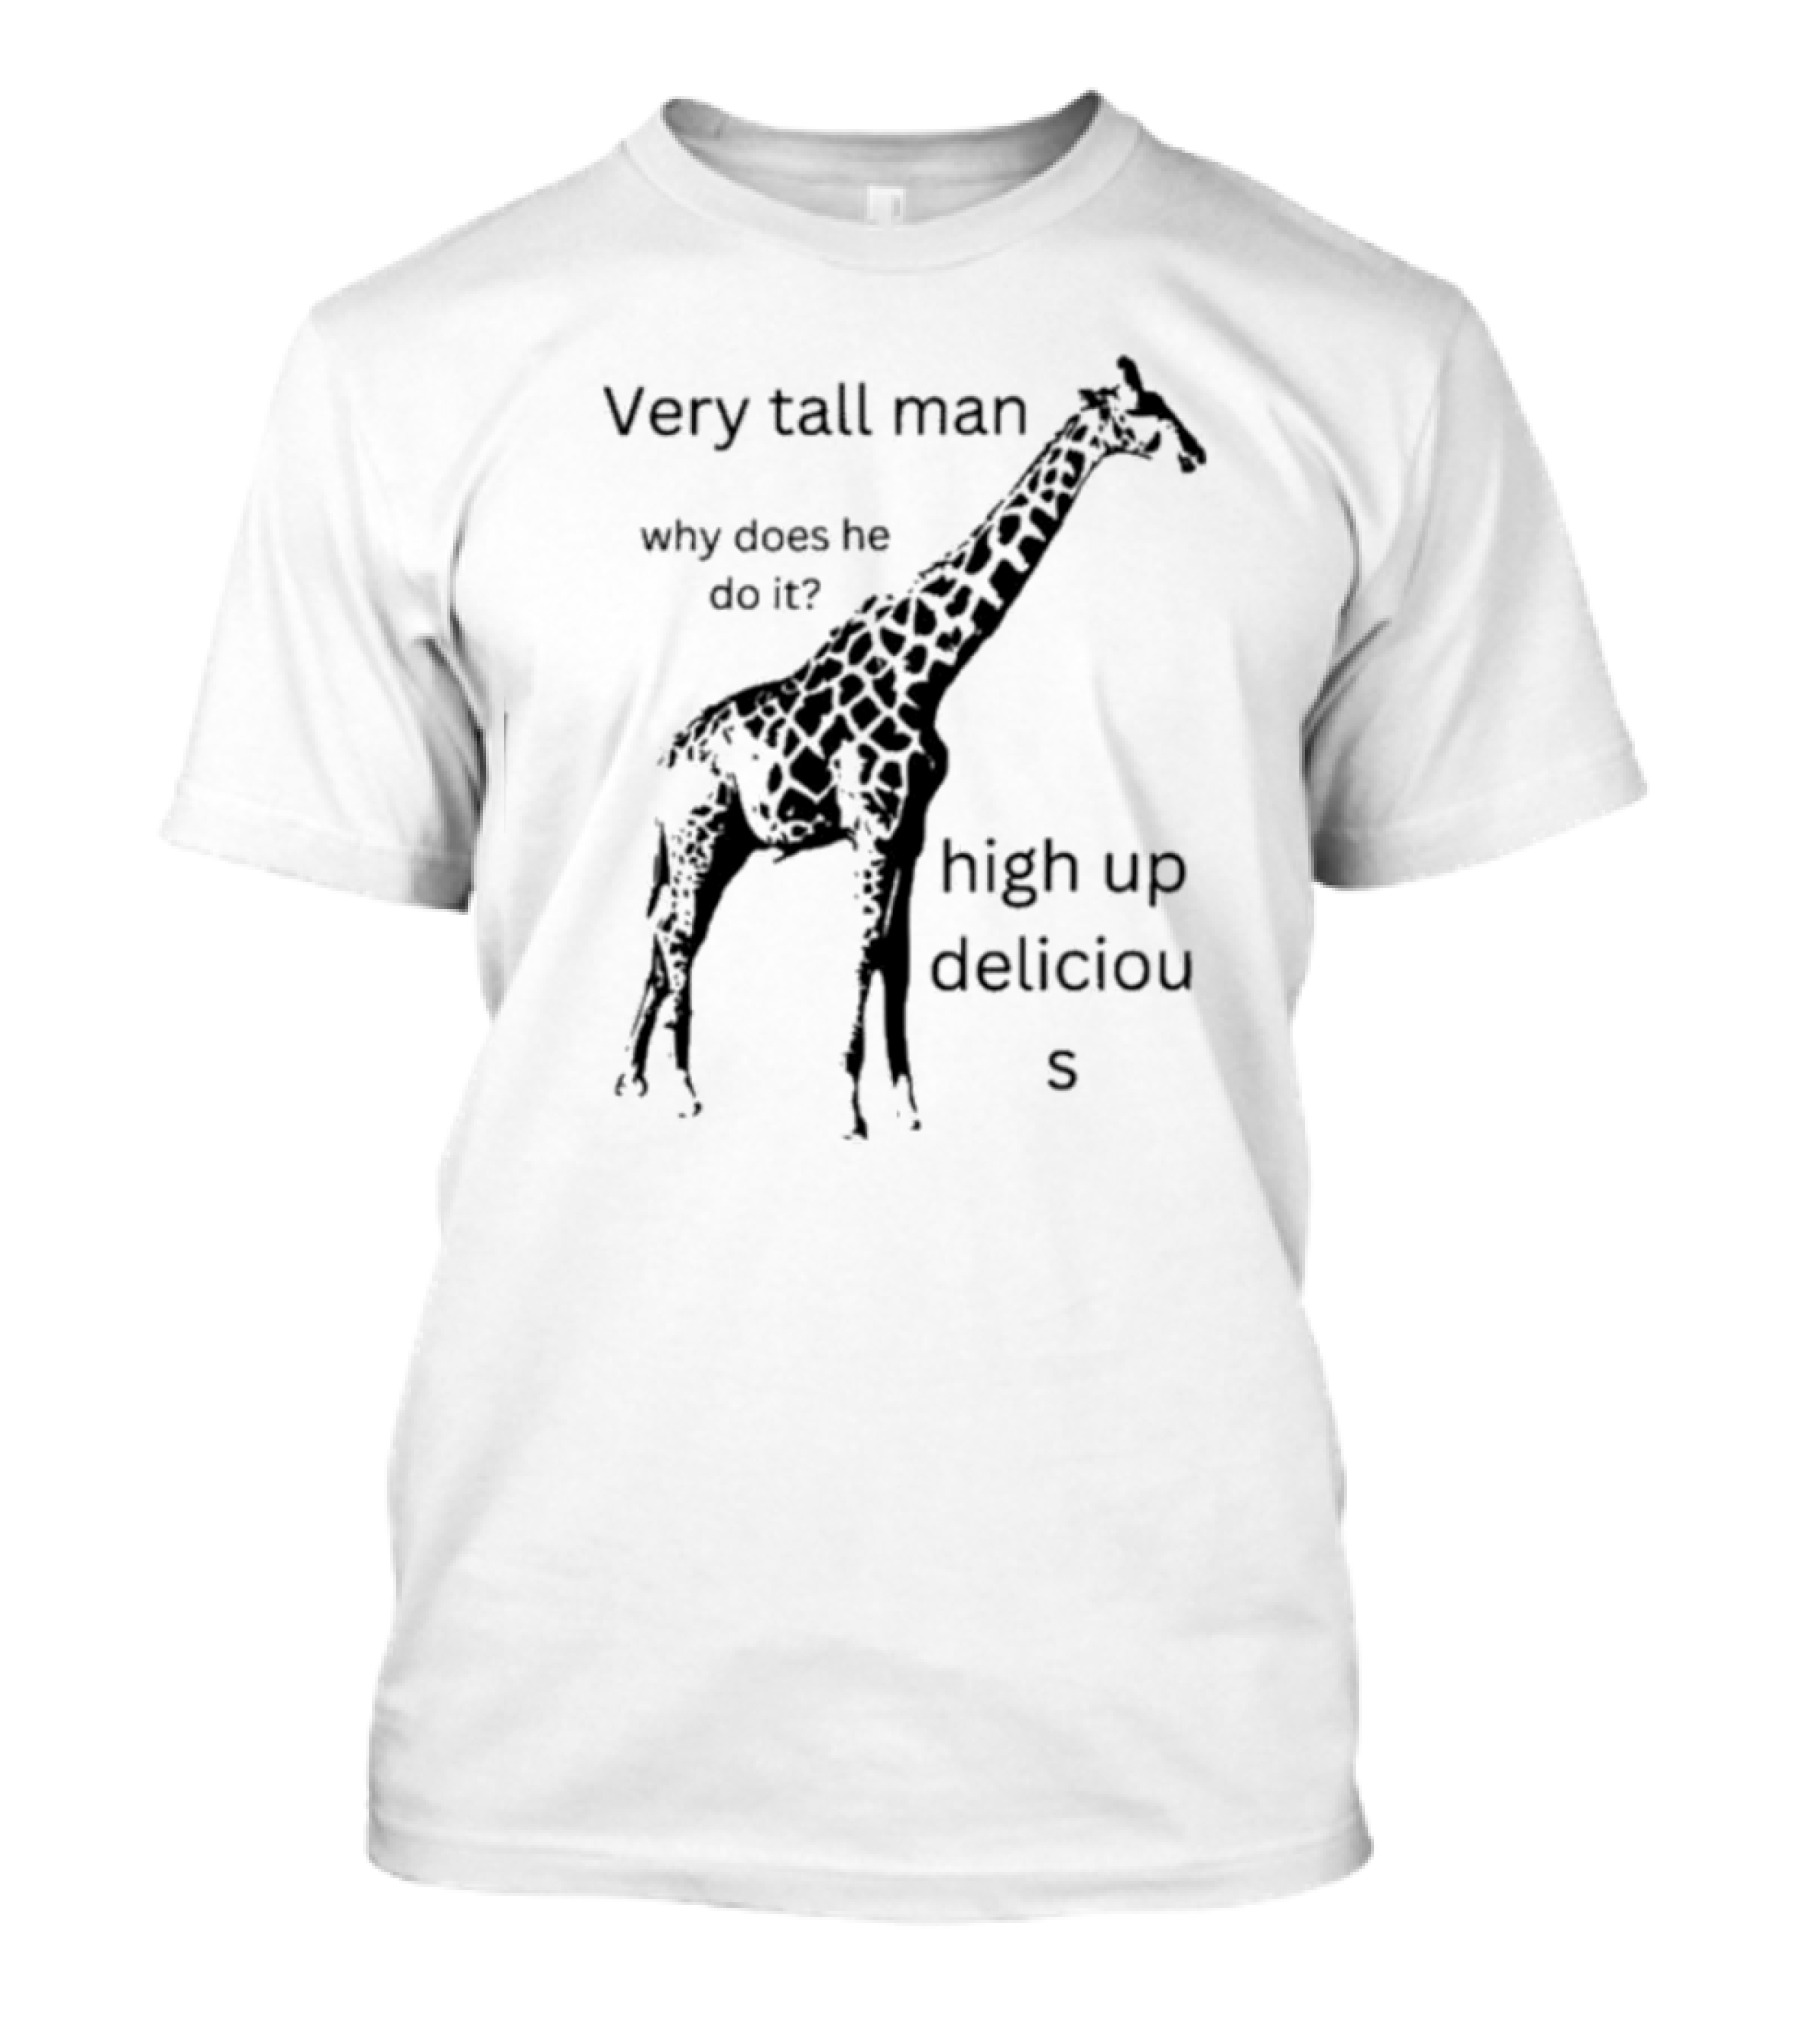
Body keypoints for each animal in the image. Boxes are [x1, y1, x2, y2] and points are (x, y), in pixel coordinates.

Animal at [617, 356, 1207, 1137]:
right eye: (1143, 411)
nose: (1196, 454)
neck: (926, 671)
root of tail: (666, 760)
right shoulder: (871, 825)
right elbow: (865, 947)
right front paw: (849, 1105)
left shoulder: (912, 828)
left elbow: (898, 955)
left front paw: (906, 1101)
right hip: (698, 833)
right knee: (679, 934)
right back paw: (683, 1088)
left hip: (725, 843)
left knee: (668, 927)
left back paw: (630, 1074)